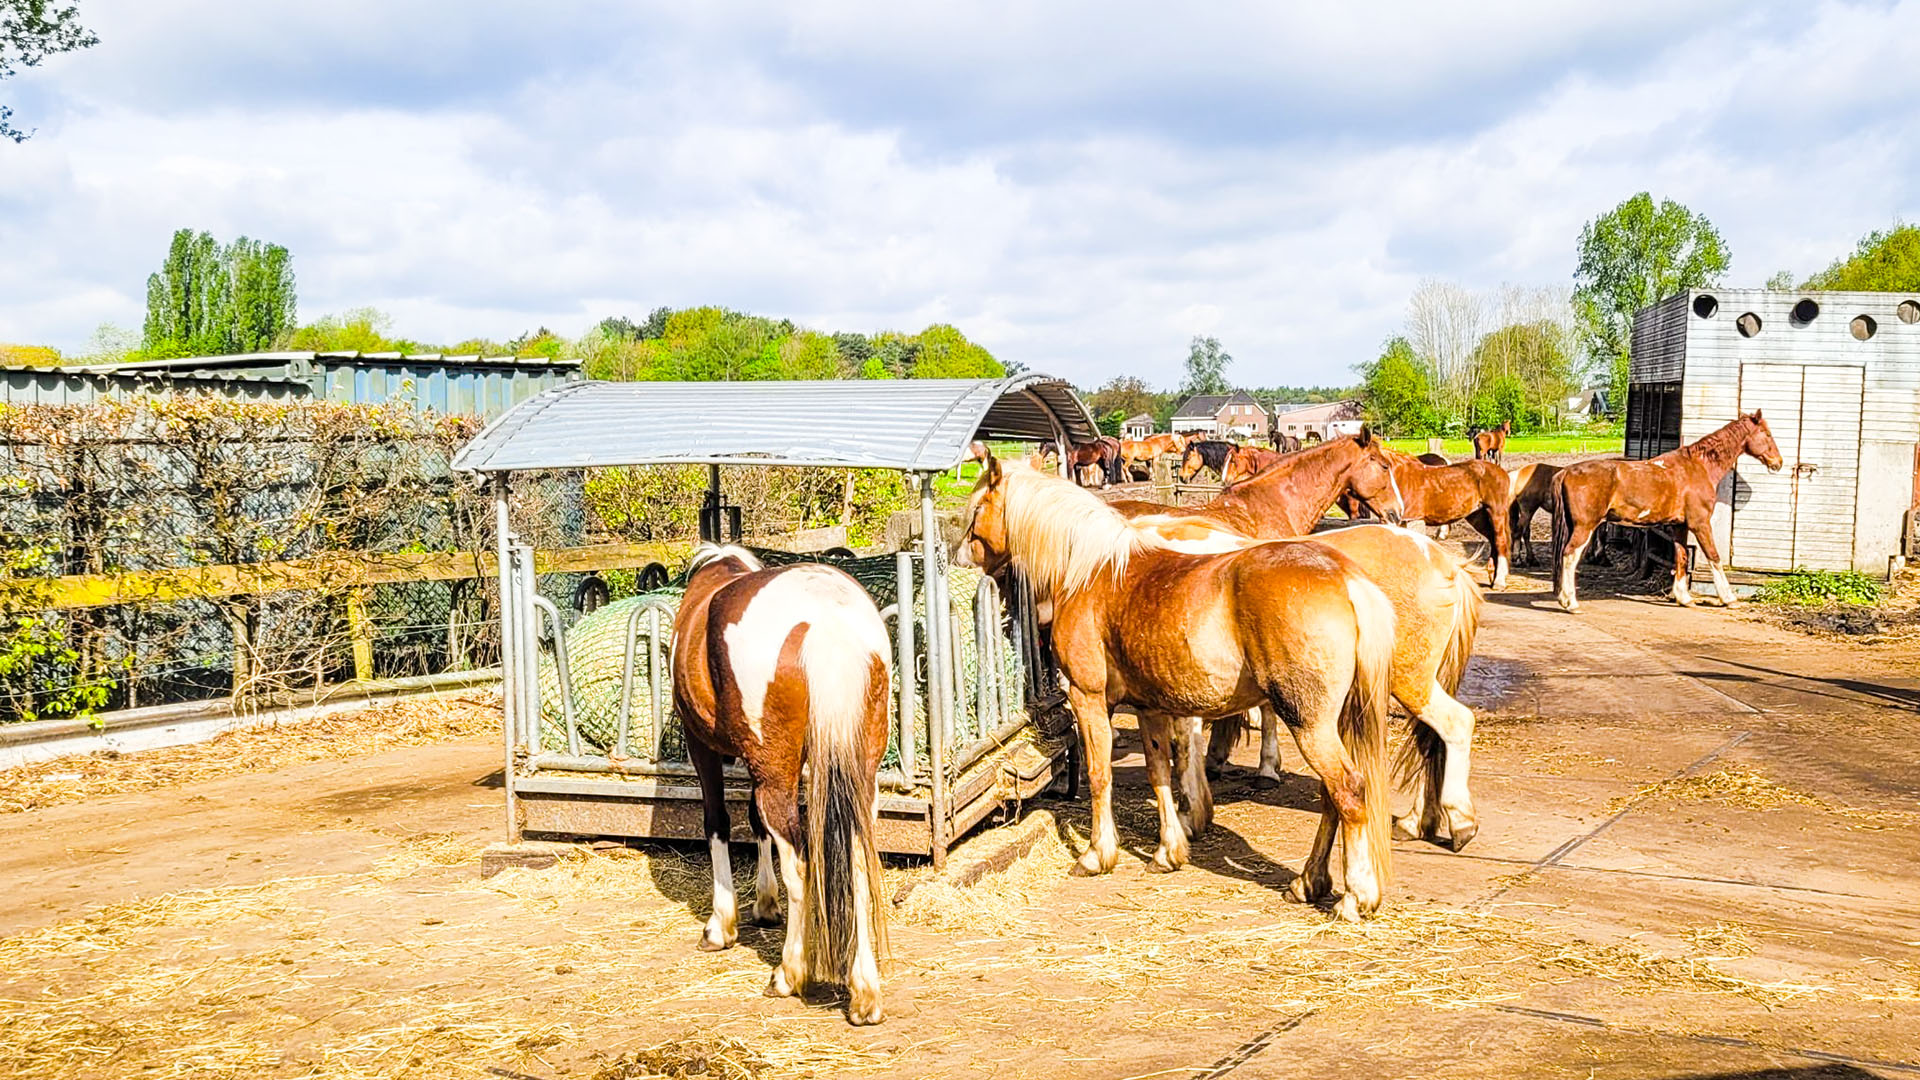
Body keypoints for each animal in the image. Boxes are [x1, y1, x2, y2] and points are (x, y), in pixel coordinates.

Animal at [671, 544, 892, 1025]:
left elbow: (718, 822)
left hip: (773, 771)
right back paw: (864, 991)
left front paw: (722, 925)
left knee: (801, 865)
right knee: (858, 861)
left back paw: (789, 974)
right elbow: (756, 824)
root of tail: (827, 620)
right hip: (859, 776)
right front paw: (764, 902)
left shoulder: (703, 746)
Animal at [956, 450, 1399, 920]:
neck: (1090, 569)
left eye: (977, 508)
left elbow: (1099, 773)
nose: (961, 561)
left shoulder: (1088, 698)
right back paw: (1308, 882)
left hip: (1309, 723)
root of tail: (1346, 580)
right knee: (1330, 796)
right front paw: (1169, 851)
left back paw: (1355, 896)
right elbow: (1159, 772)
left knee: (1348, 790)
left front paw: (1097, 854)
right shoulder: (1149, 707)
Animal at [1551, 411, 1783, 613]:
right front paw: (1729, 599)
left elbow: (1681, 557)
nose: (1778, 463)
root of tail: (1567, 472)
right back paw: (1571, 603)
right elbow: (1713, 557)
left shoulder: (1679, 526)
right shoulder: (1700, 524)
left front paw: (1684, 598)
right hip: (1585, 527)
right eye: (1767, 434)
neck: (1698, 467)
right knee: (1570, 555)